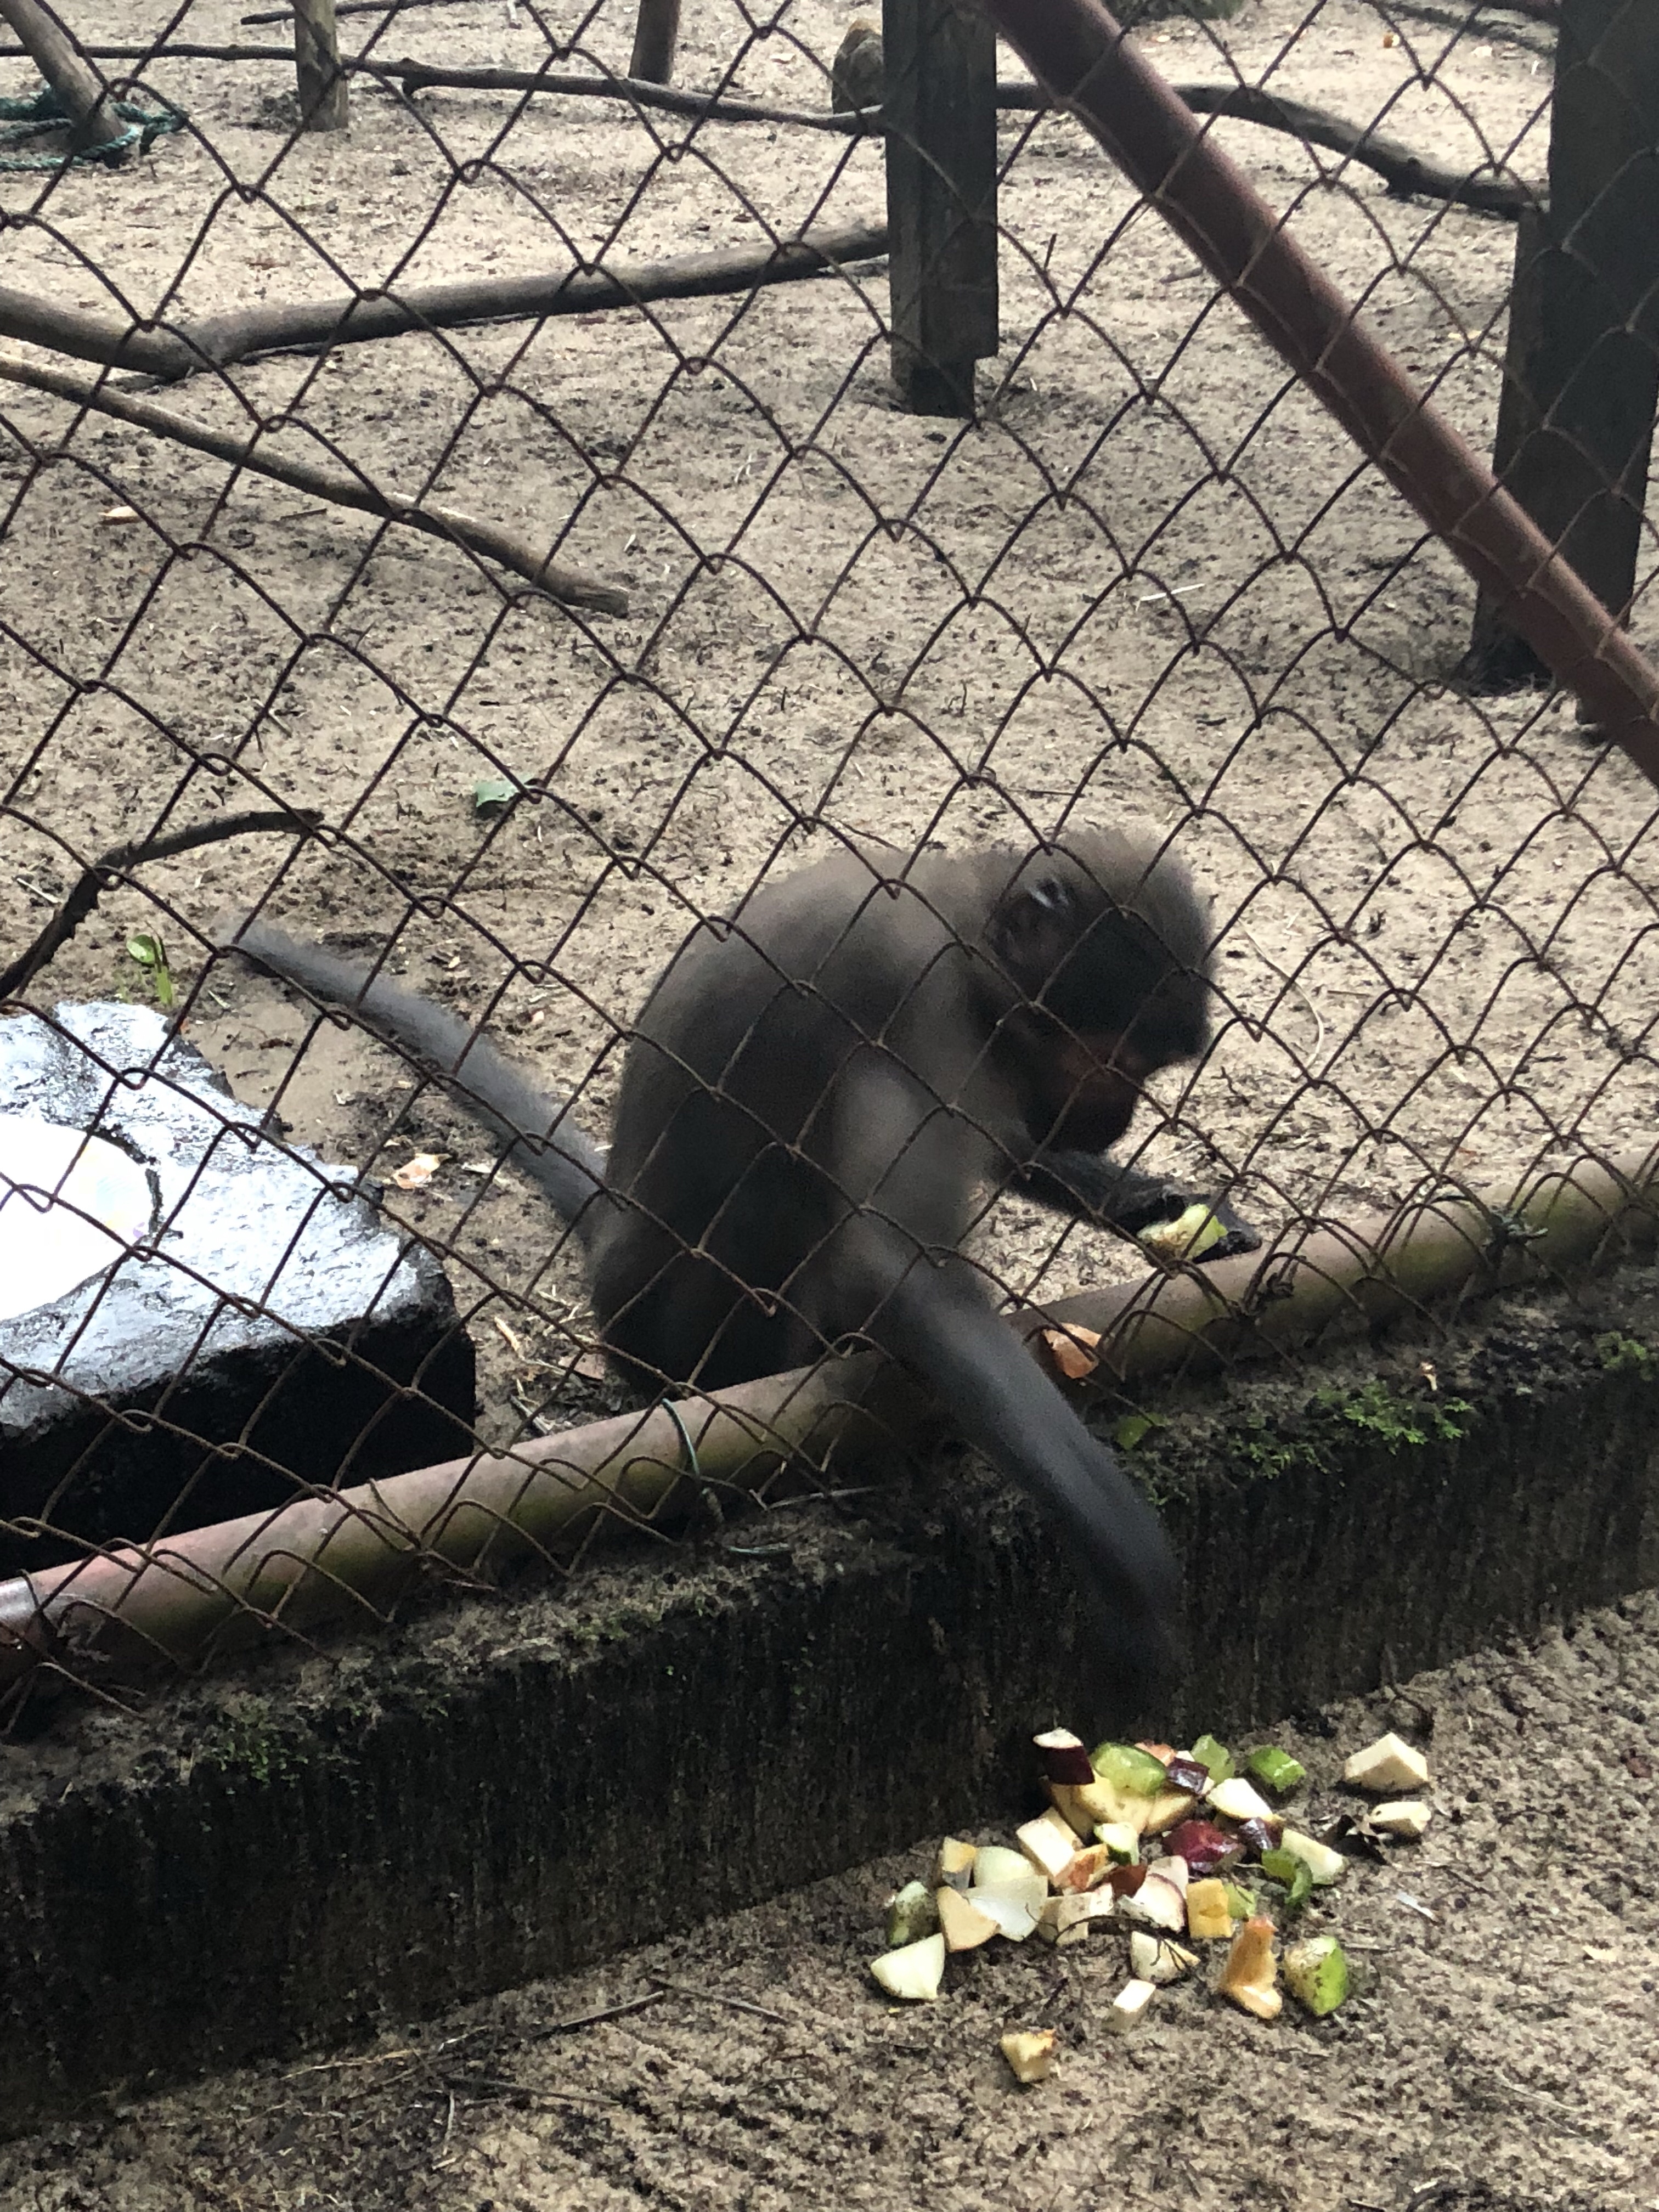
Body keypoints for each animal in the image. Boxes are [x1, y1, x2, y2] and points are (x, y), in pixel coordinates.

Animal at [224, 828, 1255, 1708]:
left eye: (1143, 1074)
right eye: (1110, 1062)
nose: (1118, 1120)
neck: (967, 940)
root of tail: (613, 1238)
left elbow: (1009, 1154)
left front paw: (1179, 1216)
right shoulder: (916, 1009)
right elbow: (896, 1262)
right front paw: (1132, 1565)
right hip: (667, 1318)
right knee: (782, 1211)